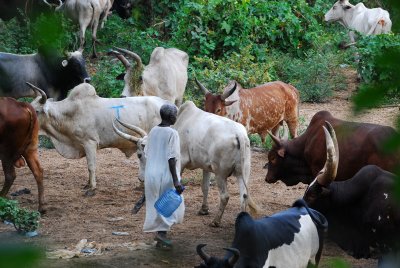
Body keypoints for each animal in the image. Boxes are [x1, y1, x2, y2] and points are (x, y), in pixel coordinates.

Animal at [26, 82, 170, 196]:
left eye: (37, 110)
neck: (71, 113)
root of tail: (165, 103)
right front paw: (87, 184)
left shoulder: (90, 142)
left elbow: (91, 166)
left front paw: (92, 188)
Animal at [114, 100, 260, 226]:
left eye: (139, 154)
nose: (141, 178)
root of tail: (239, 134)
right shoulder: (206, 167)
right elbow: (205, 187)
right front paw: (203, 209)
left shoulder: (179, 161)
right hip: (243, 172)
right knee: (244, 195)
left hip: (220, 173)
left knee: (225, 196)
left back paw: (215, 222)